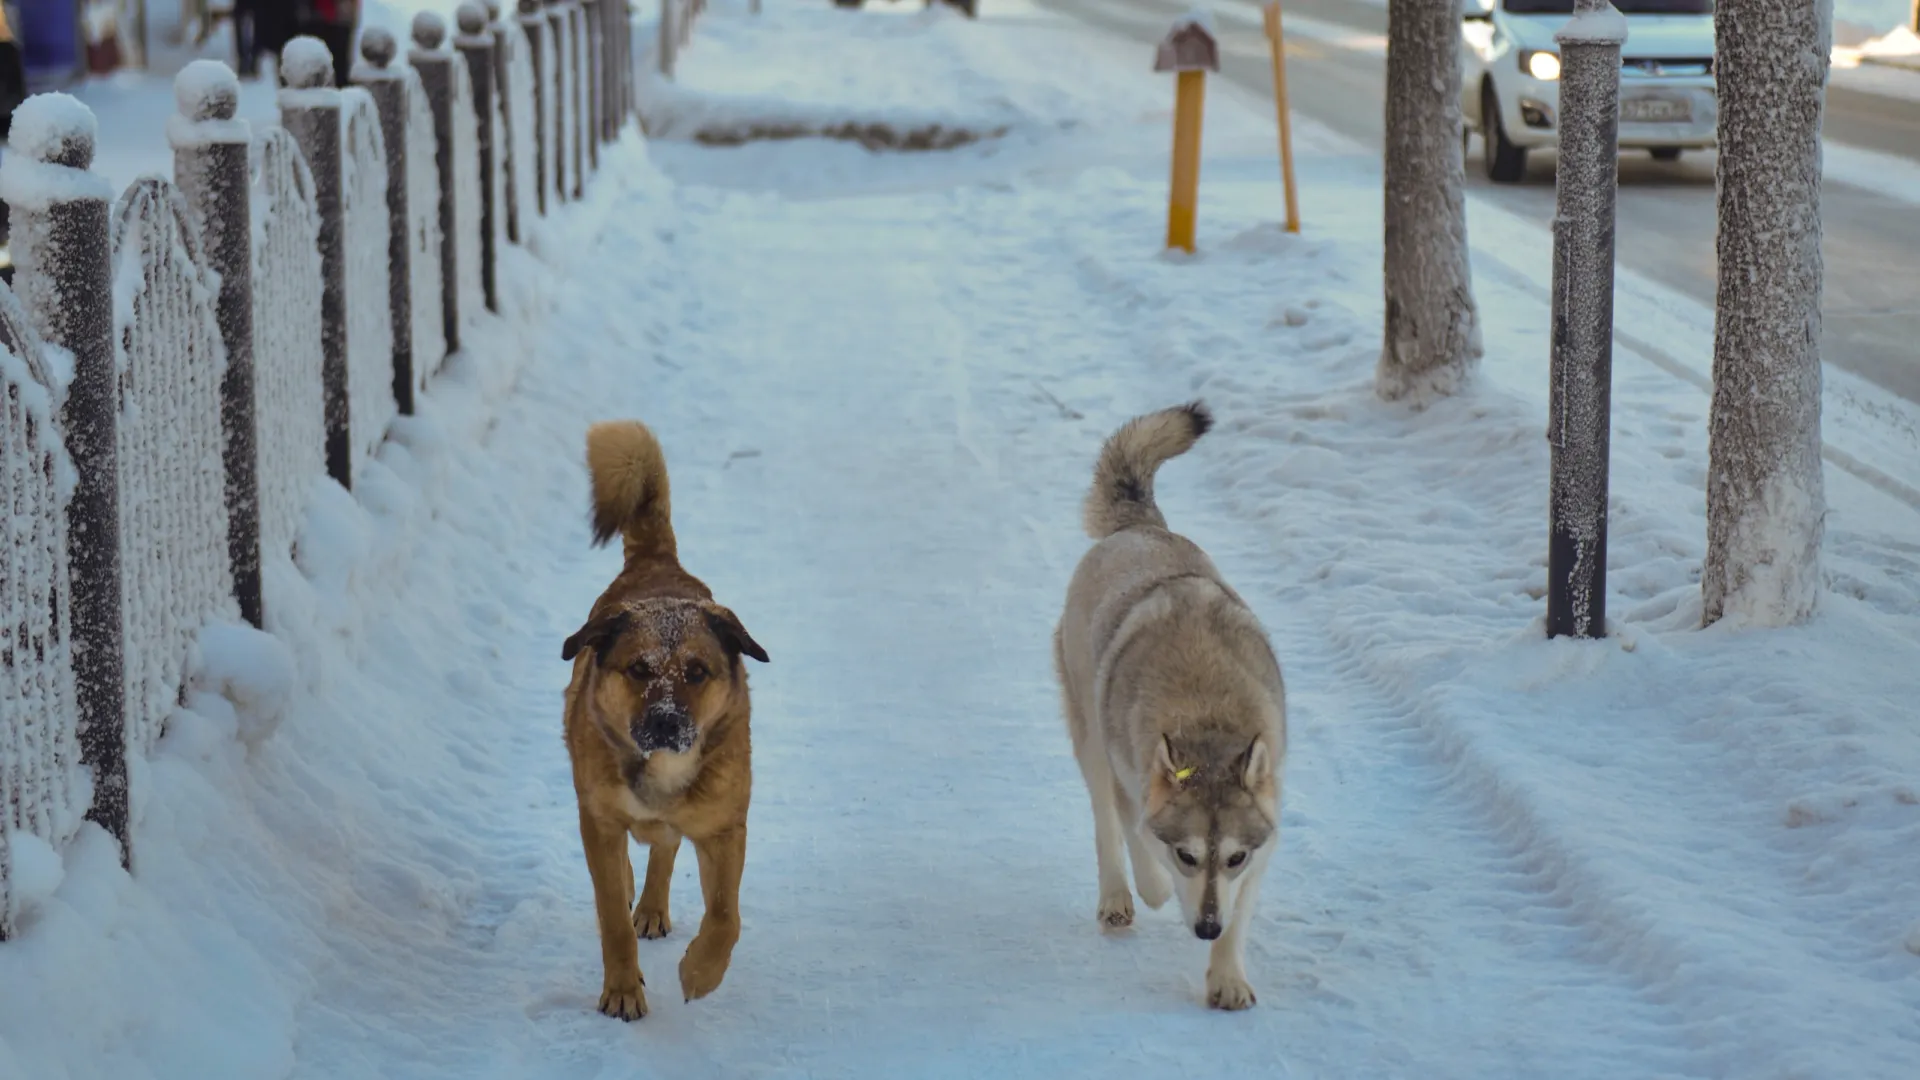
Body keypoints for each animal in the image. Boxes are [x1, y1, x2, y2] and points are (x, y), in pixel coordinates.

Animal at [560, 418, 768, 1014]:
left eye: (697, 671)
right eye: (638, 668)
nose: (667, 722)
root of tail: (658, 564)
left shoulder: (724, 827)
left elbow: (726, 915)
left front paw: (700, 972)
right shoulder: (599, 819)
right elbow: (611, 915)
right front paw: (622, 990)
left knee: (666, 848)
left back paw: (652, 904)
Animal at [1052, 399, 1290, 1006]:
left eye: (1234, 857)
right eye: (1187, 855)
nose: (1206, 927)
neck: (1206, 719)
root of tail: (1140, 528)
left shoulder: (1264, 832)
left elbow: (1241, 912)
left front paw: (1227, 978)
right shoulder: (1133, 778)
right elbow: (1138, 836)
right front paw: (1157, 888)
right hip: (1089, 732)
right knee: (1105, 822)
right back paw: (1117, 898)